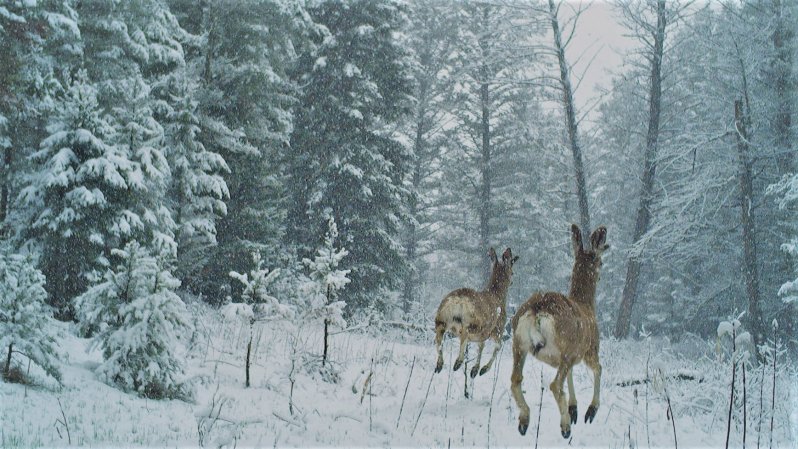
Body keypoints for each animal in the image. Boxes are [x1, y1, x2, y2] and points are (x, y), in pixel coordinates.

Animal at [438, 247, 520, 376]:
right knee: (464, 333)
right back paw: (458, 362)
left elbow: (481, 346)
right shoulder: (497, 328)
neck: (498, 296)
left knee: (439, 340)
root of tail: (458, 300)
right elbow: (496, 346)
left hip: (441, 317)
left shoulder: (485, 334)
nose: (512, 281)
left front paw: (474, 370)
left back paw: (440, 364)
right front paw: (481, 369)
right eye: (512, 272)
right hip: (475, 322)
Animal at [510, 224, 608, 438]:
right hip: (566, 347)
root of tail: (537, 310)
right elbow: (599, 368)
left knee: (515, 379)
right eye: (601, 261)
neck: (587, 305)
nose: (601, 274)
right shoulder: (589, 349)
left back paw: (524, 421)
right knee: (555, 385)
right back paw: (565, 426)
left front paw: (574, 409)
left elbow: (571, 375)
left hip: (518, 343)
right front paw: (588, 411)